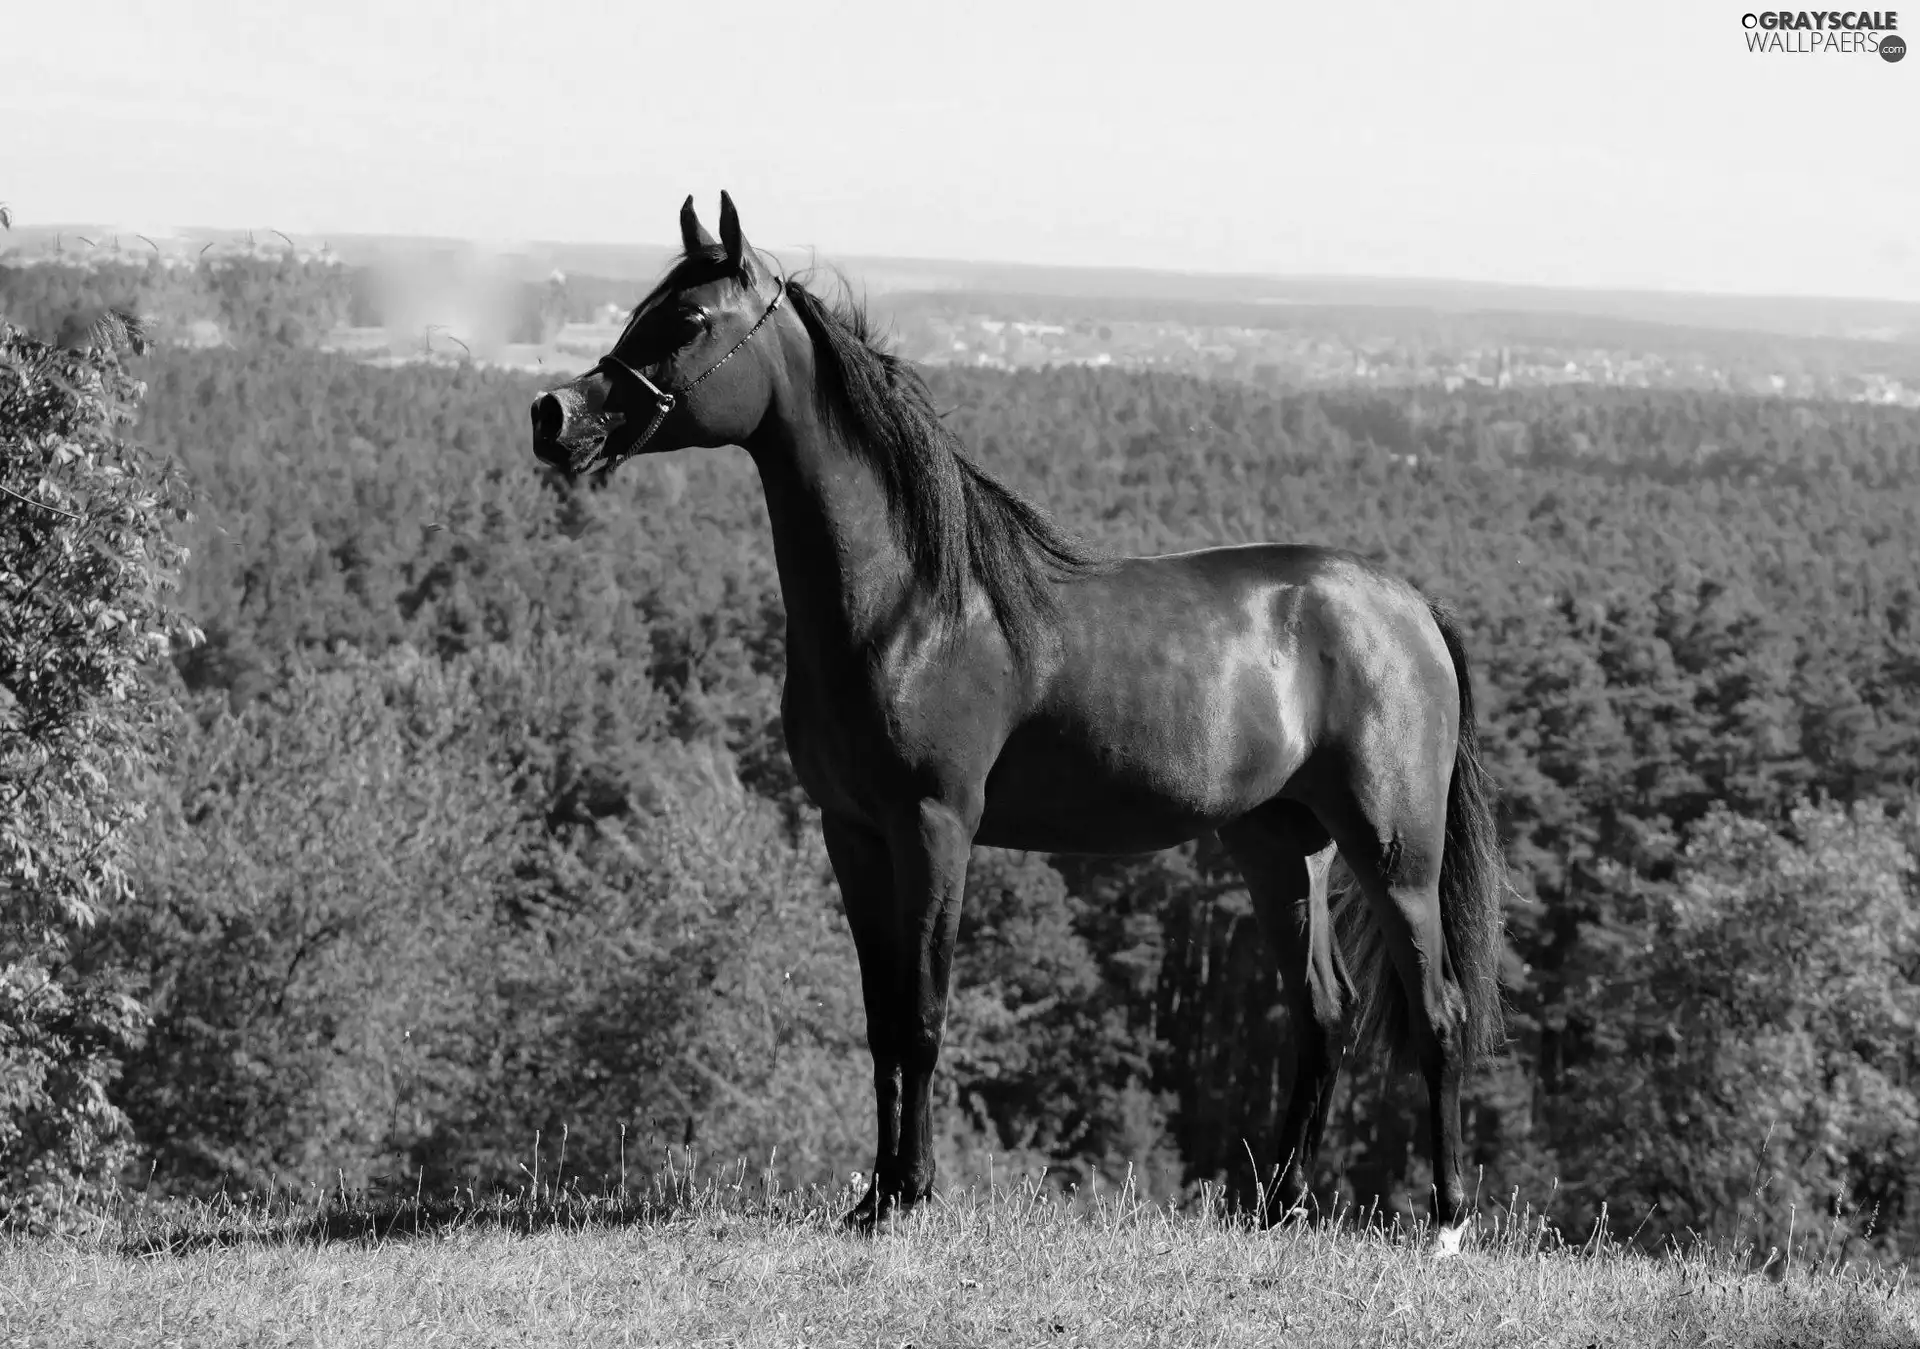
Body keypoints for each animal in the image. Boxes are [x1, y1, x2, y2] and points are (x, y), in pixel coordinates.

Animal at [533, 192, 1505, 1258]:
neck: (911, 604)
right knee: (1324, 1012)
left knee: (1438, 1013)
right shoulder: (854, 834)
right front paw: (873, 1197)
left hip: (1394, 853)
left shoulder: (936, 828)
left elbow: (922, 1015)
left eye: (688, 321)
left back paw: (1446, 1223)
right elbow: (880, 1019)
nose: (553, 417)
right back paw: (1277, 1207)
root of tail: (1408, 606)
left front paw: (910, 1197)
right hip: (1280, 845)